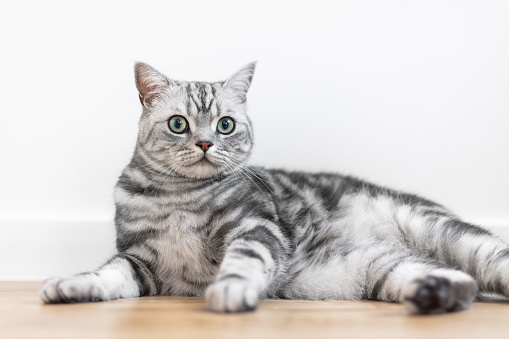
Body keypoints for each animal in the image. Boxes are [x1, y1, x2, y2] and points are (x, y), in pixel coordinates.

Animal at [40, 61, 508, 316]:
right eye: (178, 124)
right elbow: (107, 274)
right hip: (383, 268)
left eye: (225, 125)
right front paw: (72, 286)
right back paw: (437, 293)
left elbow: (245, 260)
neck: (180, 197)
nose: (205, 142)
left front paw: (231, 289)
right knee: (457, 281)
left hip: (448, 234)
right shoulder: (141, 261)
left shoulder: (254, 227)